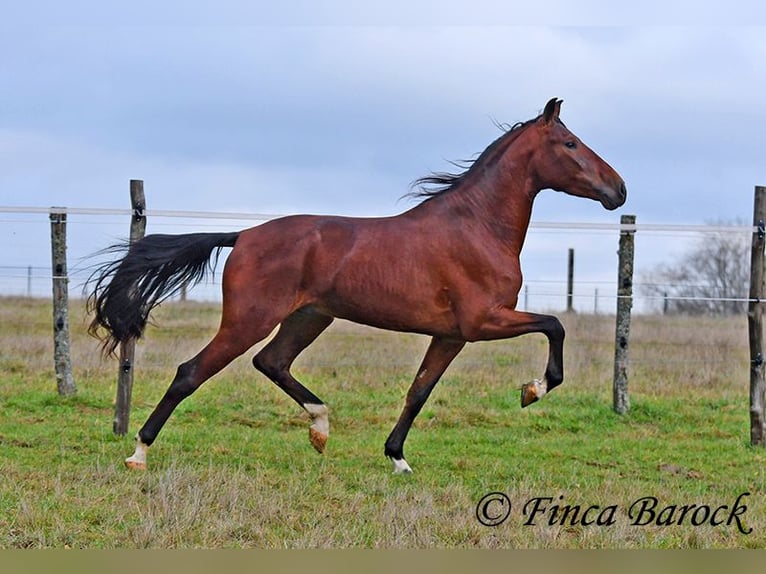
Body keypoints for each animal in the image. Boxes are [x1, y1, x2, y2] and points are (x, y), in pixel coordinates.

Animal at [87, 98, 626, 473]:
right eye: (571, 144)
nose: (619, 190)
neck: (476, 227)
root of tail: (244, 235)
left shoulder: (451, 334)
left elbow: (418, 392)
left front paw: (398, 459)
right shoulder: (483, 321)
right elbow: (554, 326)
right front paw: (533, 390)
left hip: (309, 318)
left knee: (271, 362)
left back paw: (320, 428)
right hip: (249, 320)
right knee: (191, 372)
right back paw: (138, 453)